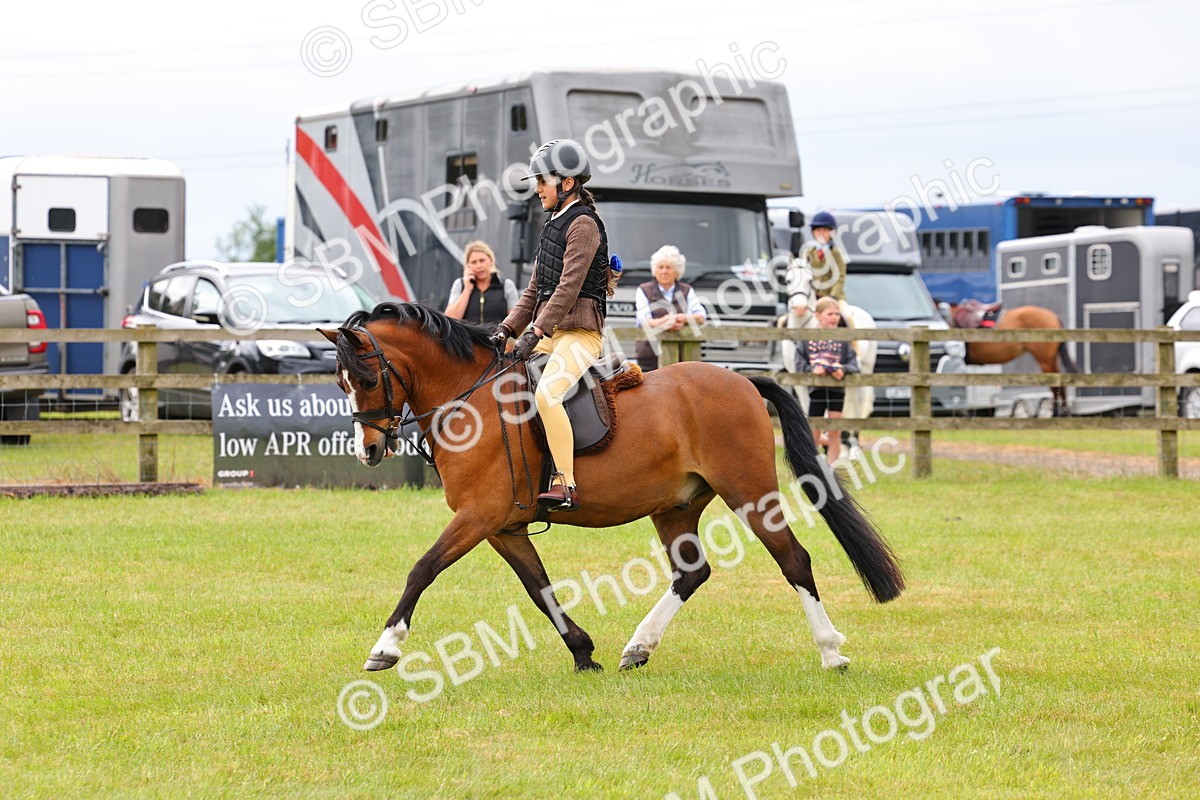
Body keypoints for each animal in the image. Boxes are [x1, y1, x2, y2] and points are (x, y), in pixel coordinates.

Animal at [319, 302, 904, 675]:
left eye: (365, 379)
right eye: (341, 383)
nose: (369, 450)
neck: (473, 399)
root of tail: (740, 379)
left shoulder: (478, 516)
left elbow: (422, 569)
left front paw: (385, 649)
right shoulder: (504, 527)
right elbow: (540, 590)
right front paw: (583, 652)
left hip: (750, 493)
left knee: (794, 560)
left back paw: (831, 653)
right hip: (676, 506)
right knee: (691, 573)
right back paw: (638, 648)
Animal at [949, 301, 1079, 416]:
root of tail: (1053, 316)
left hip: (1045, 360)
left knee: (1055, 382)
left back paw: (1056, 412)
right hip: (1051, 359)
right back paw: (1063, 412)